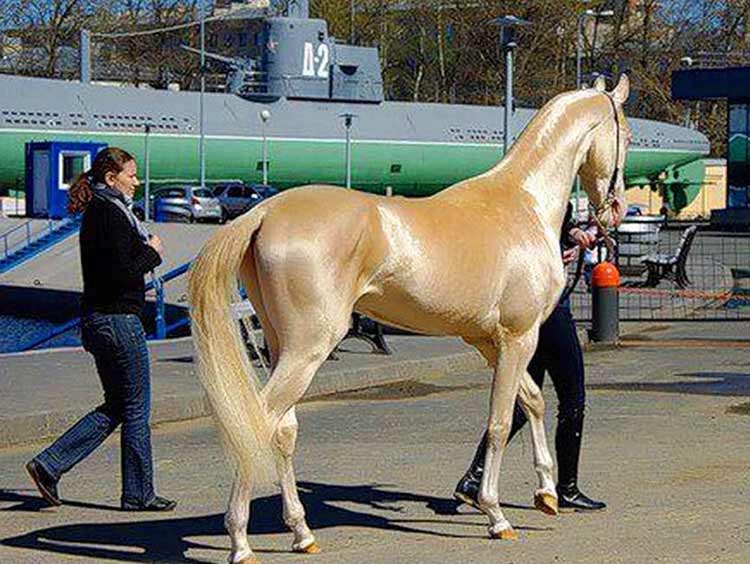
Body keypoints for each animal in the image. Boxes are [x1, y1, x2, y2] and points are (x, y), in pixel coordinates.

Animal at [187, 76, 628, 564]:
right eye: (626, 135)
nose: (616, 209)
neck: (522, 203)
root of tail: (265, 211)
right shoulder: (518, 338)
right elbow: (498, 422)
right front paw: (496, 516)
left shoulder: (490, 342)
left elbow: (530, 402)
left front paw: (546, 493)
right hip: (308, 349)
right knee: (256, 423)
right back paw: (240, 543)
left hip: (283, 347)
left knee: (283, 430)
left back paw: (302, 533)